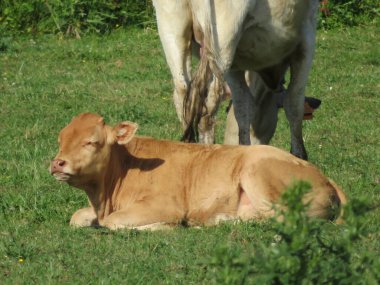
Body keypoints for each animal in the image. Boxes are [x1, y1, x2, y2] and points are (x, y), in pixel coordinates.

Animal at [49, 112, 346, 229]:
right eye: (61, 139)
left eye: (91, 142)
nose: (57, 163)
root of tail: (323, 176)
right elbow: (77, 217)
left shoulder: (165, 205)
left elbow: (113, 222)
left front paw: (164, 227)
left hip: (258, 172)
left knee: (284, 218)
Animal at [153, 0, 320, 160]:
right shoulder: (307, 36)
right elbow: (294, 103)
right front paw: (299, 157)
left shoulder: (237, 61)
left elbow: (243, 107)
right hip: (223, 37)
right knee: (209, 105)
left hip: (175, 32)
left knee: (183, 95)